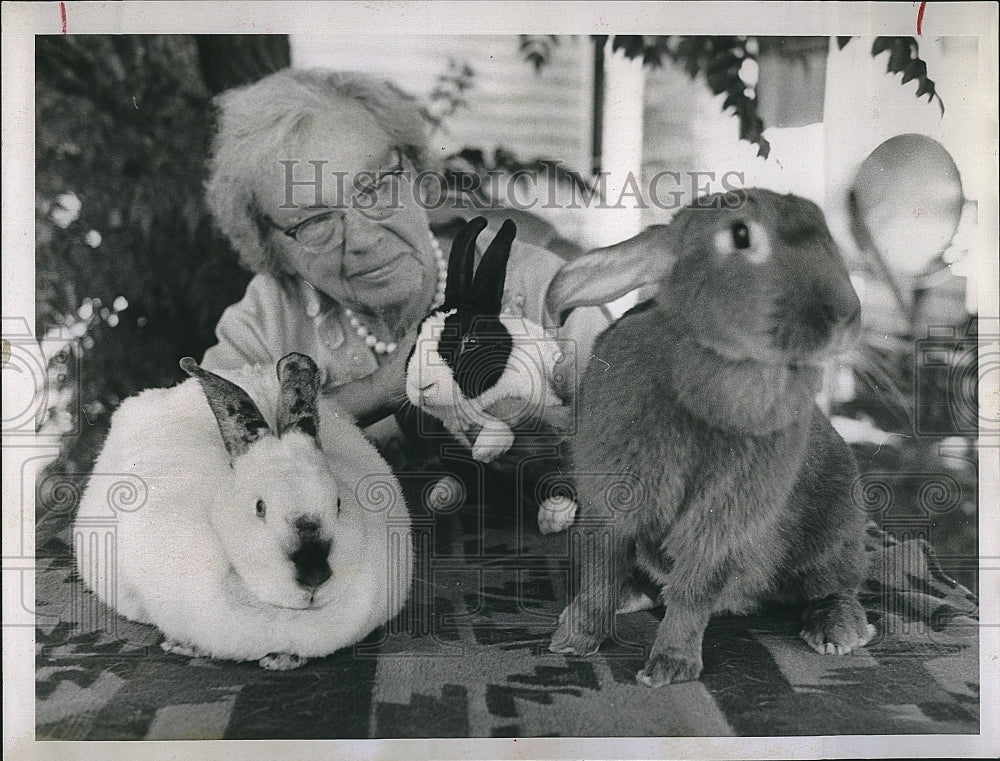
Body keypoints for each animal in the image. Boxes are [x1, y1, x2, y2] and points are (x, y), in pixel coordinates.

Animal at [548, 187, 876, 684]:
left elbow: (695, 590)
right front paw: (575, 639)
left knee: (834, 587)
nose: (845, 317)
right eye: (740, 235)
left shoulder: (723, 522)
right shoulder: (611, 501)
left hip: (838, 534)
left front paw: (669, 667)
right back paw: (632, 594)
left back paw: (837, 631)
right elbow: (598, 574)